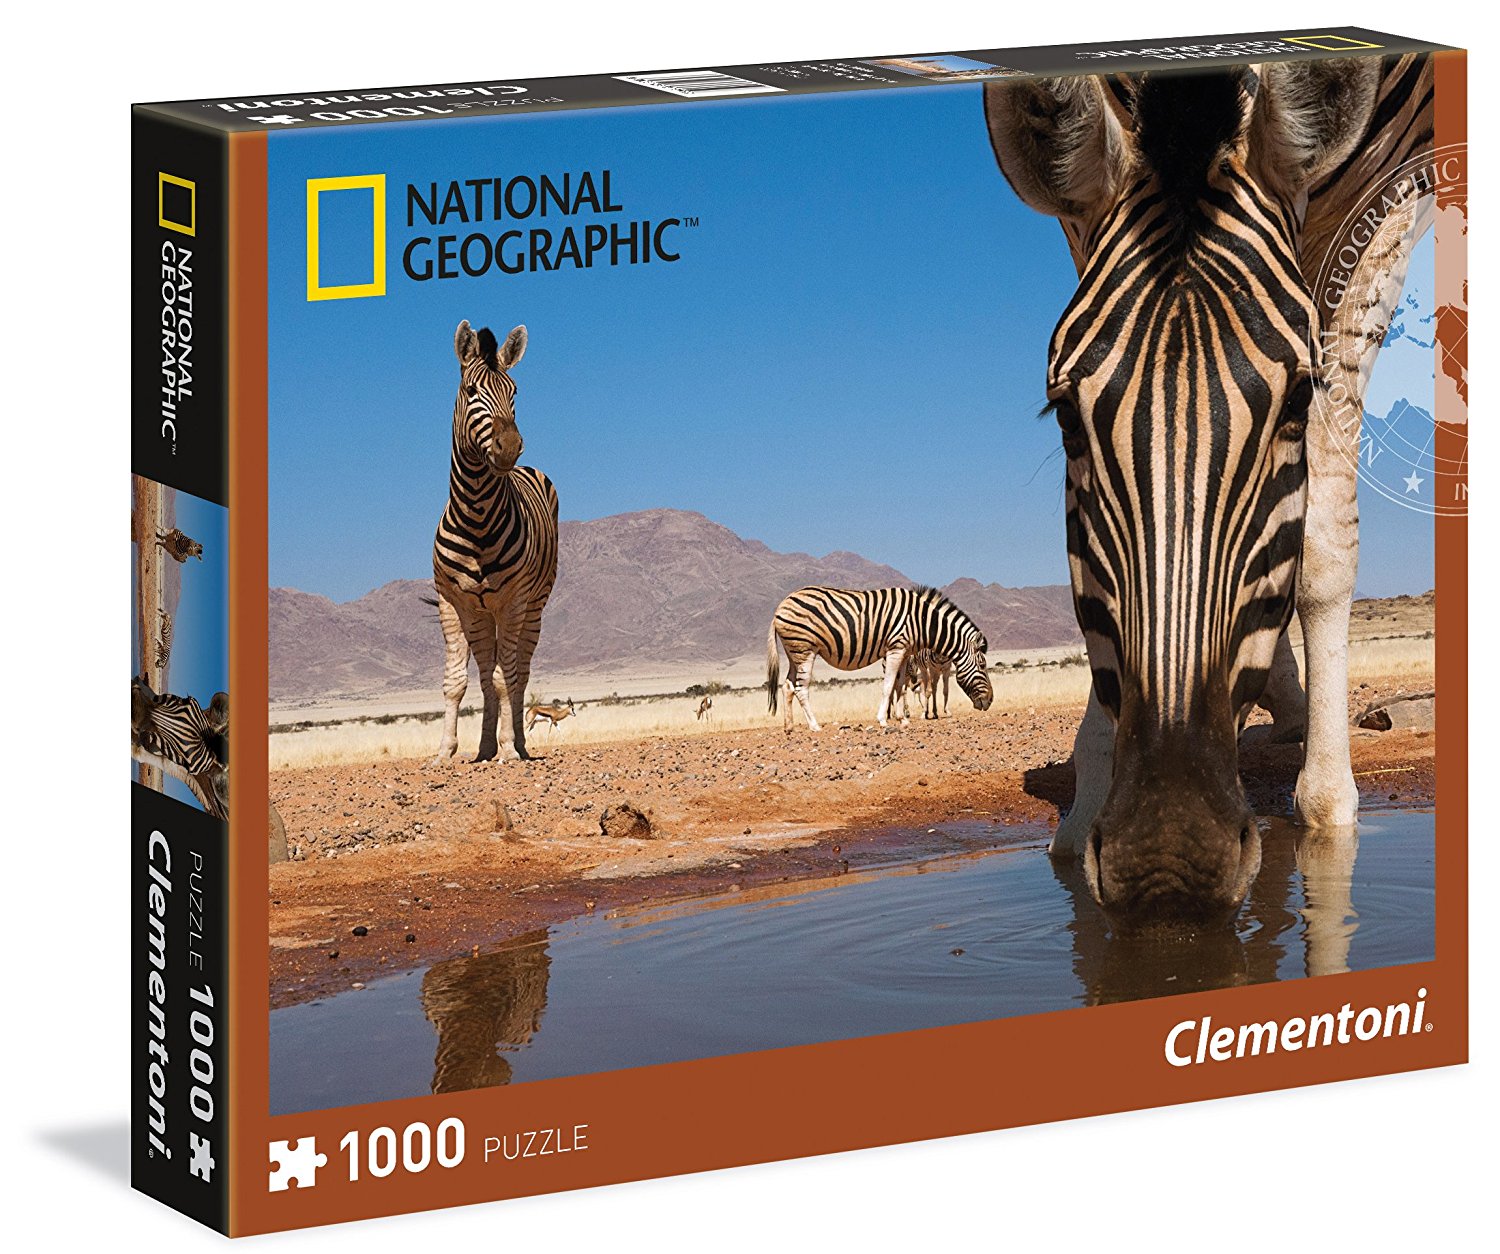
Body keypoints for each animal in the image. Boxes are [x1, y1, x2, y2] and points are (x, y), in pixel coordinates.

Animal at [431, 321, 559, 764]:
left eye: (514, 391)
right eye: (471, 391)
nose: (509, 447)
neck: (476, 513)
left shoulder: (515, 601)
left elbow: (509, 679)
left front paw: (508, 750)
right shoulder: (452, 602)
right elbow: (457, 681)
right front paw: (445, 751)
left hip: (533, 608)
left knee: (519, 673)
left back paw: (515, 743)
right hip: (481, 614)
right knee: (487, 673)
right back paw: (484, 747)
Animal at [767, 586, 993, 732]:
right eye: (982, 665)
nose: (990, 701)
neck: (922, 622)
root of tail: (780, 605)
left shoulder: (904, 653)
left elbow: (900, 687)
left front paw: (902, 720)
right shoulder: (895, 648)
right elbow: (888, 685)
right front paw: (883, 720)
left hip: (794, 652)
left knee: (787, 686)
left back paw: (789, 727)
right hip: (805, 650)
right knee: (800, 688)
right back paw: (814, 726)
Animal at [983, 56, 1434, 925]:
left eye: (1296, 403)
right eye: (1065, 416)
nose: (1168, 861)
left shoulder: (1394, 186)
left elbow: (1322, 536)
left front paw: (1329, 803)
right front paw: (1088, 790)